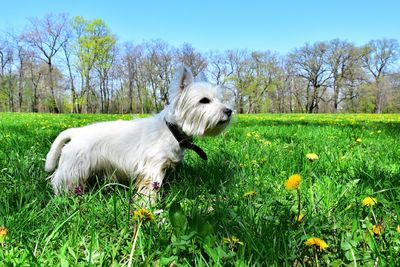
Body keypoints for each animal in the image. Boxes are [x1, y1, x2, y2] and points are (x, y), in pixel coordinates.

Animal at [44, 67, 231, 203]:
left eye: (220, 99)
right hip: (74, 168)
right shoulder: (152, 168)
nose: (229, 111)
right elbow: (150, 190)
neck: (171, 130)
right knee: (58, 180)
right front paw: (149, 206)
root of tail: (75, 132)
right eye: (204, 100)